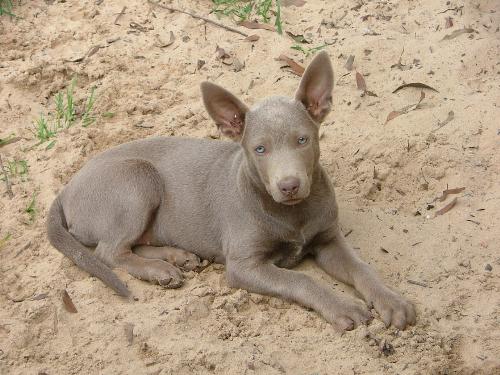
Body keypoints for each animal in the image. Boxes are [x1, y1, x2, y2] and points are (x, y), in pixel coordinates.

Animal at [47, 51, 414, 330]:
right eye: (259, 149)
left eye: (303, 140)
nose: (289, 186)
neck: (291, 213)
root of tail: (65, 189)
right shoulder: (244, 265)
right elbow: (302, 281)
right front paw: (341, 306)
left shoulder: (328, 240)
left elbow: (362, 268)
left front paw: (390, 300)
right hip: (138, 179)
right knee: (108, 252)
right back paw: (160, 270)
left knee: (130, 244)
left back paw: (176, 257)